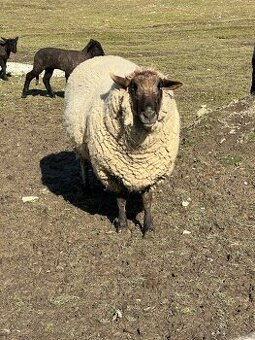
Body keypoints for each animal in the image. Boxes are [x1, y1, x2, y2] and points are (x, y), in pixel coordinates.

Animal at [64, 55, 182, 235]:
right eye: (133, 87)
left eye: (159, 86)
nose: (149, 115)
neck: (139, 153)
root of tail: (100, 57)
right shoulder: (111, 172)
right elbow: (120, 199)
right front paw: (122, 225)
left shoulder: (151, 172)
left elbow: (147, 200)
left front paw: (148, 227)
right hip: (78, 142)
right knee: (83, 163)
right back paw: (86, 188)